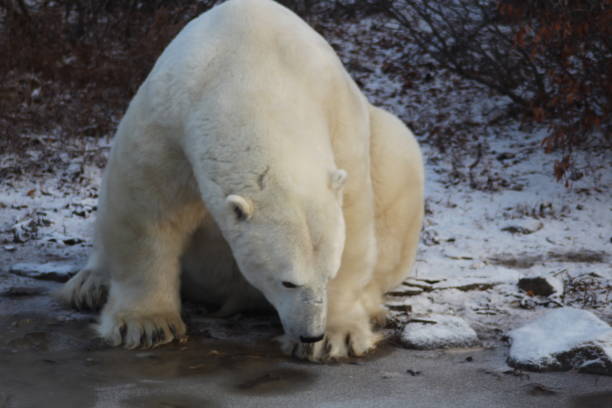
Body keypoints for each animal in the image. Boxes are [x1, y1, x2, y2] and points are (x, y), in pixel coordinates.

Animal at [62, 0, 426, 362]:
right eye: (287, 282)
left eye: (328, 275)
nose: (311, 332)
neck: (252, 70)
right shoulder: (168, 123)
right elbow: (147, 210)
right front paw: (145, 325)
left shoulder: (340, 123)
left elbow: (354, 218)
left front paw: (338, 337)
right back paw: (89, 285)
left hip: (389, 144)